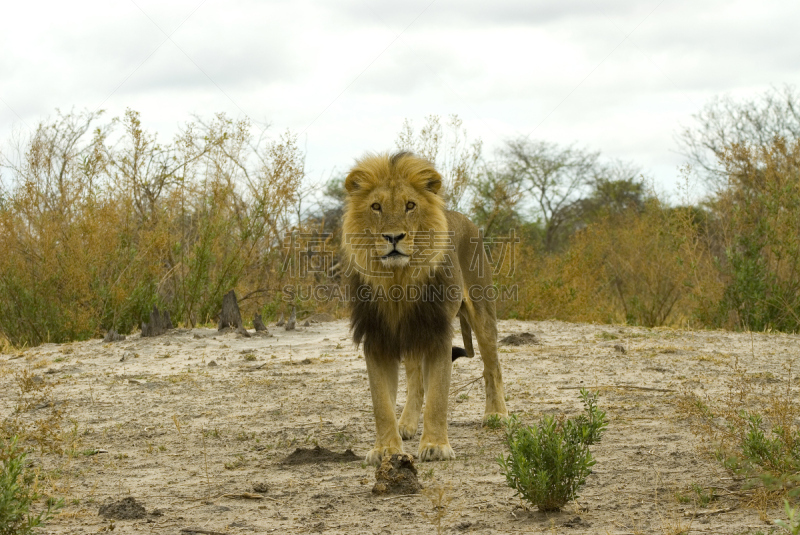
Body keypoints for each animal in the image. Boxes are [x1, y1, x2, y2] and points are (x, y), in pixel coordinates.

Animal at [342, 151, 506, 464]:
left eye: (410, 205)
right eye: (376, 207)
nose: (394, 237)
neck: (398, 280)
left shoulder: (437, 333)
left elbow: (438, 396)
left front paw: (435, 446)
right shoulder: (377, 337)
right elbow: (381, 402)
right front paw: (386, 449)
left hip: (482, 313)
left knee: (492, 367)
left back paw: (497, 415)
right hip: (411, 334)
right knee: (416, 382)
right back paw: (406, 425)